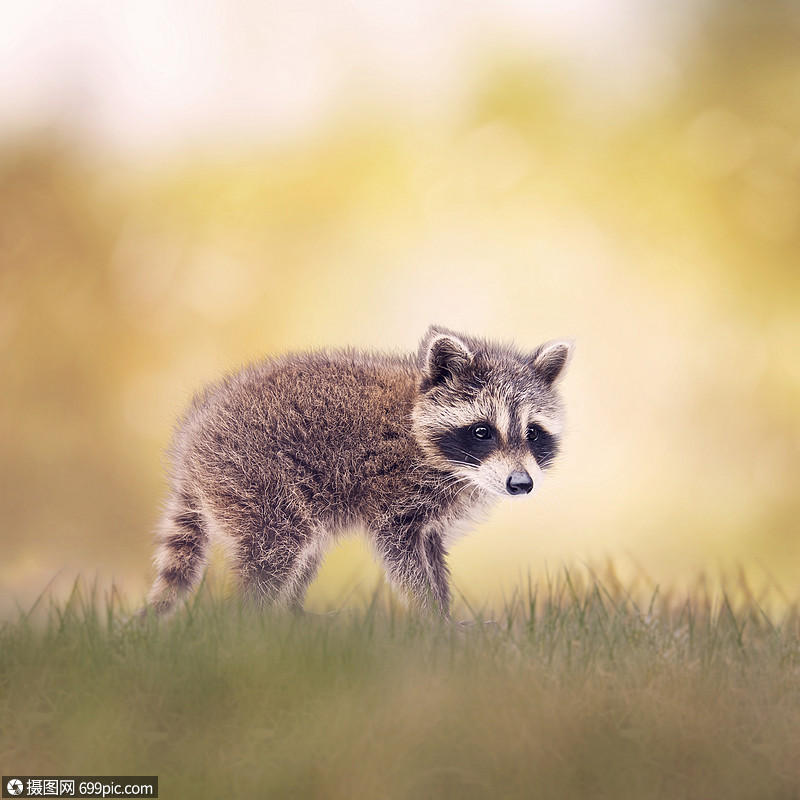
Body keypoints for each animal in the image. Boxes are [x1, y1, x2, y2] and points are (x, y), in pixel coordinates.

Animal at [141, 324, 572, 620]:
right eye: (482, 431)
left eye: (533, 433)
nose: (521, 484)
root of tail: (190, 449)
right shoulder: (394, 491)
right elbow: (403, 556)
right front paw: (431, 616)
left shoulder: (433, 515)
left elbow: (433, 556)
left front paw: (443, 610)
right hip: (254, 475)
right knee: (276, 546)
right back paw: (253, 620)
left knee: (303, 548)